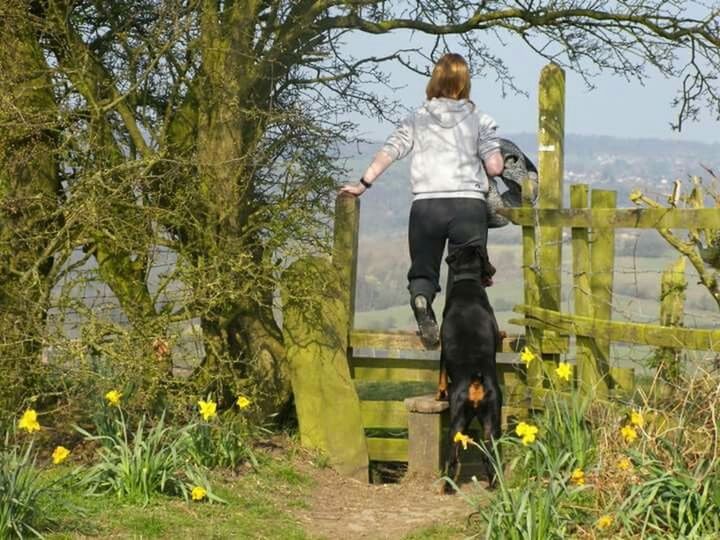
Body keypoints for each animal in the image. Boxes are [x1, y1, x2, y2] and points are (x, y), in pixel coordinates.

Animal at [436, 247, 504, 492]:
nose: (494, 269)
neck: (467, 279)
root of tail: (476, 380)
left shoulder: (442, 351)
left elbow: (441, 376)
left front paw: (439, 394)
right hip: (492, 418)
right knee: (489, 454)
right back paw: (493, 484)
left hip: (458, 418)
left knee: (452, 455)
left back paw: (447, 486)